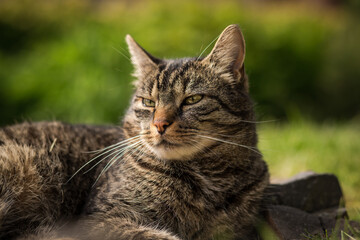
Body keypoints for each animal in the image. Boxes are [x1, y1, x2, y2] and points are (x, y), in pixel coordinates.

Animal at [0, 24, 268, 240]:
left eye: (193, 99)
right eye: (148, 103)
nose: (160, 124)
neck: (205, 181)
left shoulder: (235, 229)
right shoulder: (100, 219)